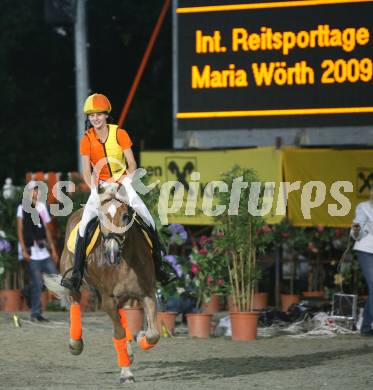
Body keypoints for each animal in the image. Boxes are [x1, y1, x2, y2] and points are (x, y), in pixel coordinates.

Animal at [43, 184, 160, 384]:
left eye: (125, 216)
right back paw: (75, 344)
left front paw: (141, 339)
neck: (124, 262)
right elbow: (118, 333)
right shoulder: (108, 300)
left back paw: (129, 351)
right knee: (75, 300)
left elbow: (153, 334)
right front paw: (126, 373)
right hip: (73, 278)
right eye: (101, 216)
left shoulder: (147, 294)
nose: (112, 252)